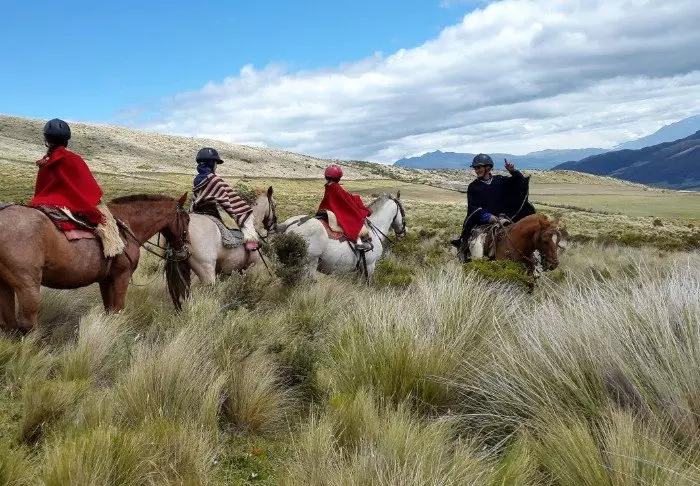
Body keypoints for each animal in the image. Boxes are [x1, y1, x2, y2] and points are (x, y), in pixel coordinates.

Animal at [0, 193, 190, 333]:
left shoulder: (106, 280)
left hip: (5, 285)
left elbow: (110, 310)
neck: (127, 226)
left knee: (9, 323)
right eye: (187, 219)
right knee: (27, 324)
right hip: (28, 286)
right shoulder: (122, 276)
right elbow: (118, 309)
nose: (185, 251)